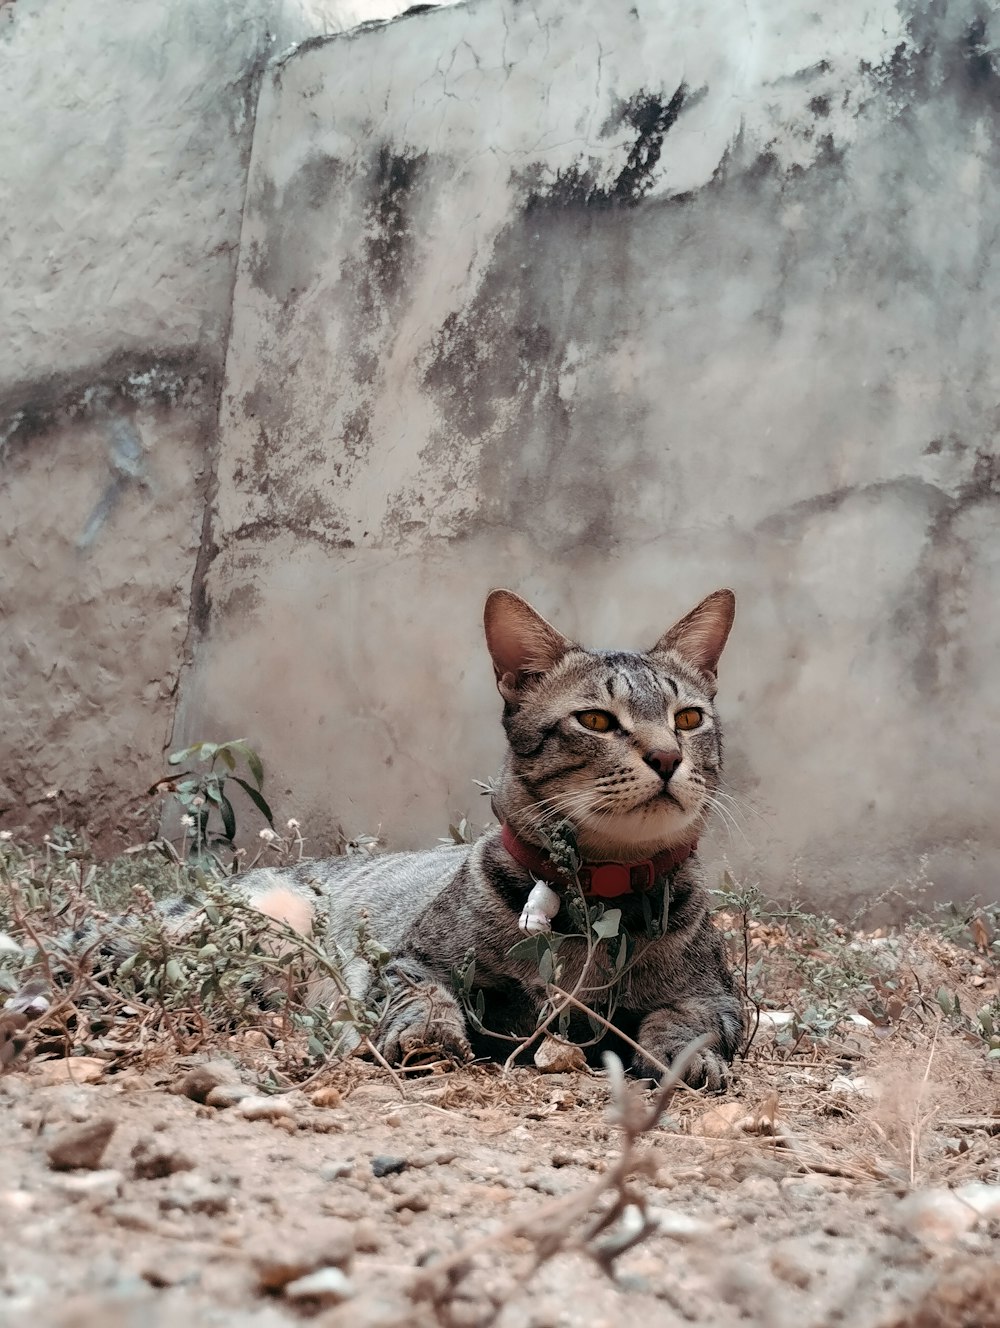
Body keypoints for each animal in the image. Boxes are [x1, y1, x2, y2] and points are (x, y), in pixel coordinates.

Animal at [232, 586, 743, 1083]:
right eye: (596, 720)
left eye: (688, 719)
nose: (667, 756)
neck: (601, 892)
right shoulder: (408, 963)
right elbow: (424, 996)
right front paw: (427, 1034)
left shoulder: (716, 996)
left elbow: (687, 1018)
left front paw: (685, 1055)